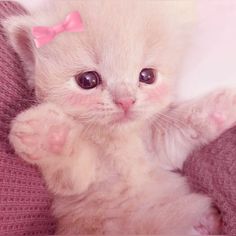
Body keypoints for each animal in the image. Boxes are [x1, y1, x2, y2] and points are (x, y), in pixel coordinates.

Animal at [3, 0, 234, 234]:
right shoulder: (74, 187)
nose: (126, 101)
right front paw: (45, 131)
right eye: (87, 80)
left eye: (147, 76)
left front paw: (225, 104)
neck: (118, 143)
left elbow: (184, 126)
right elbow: (71, 166)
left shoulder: (157, 148)